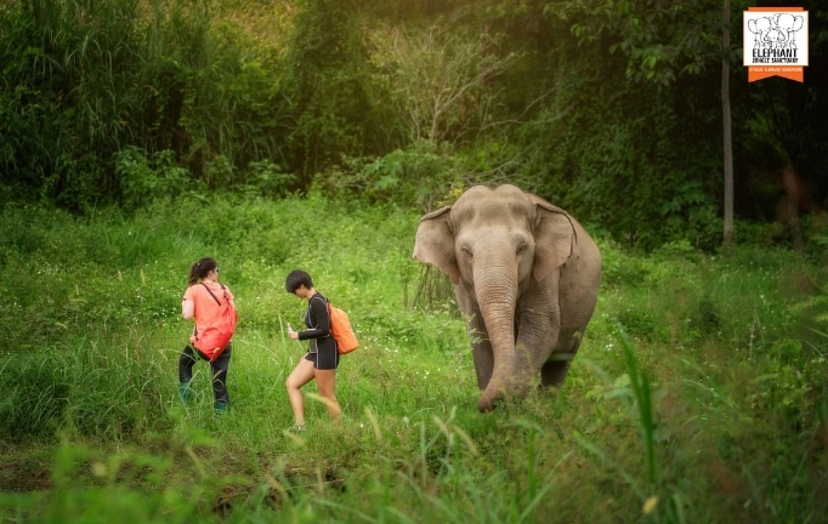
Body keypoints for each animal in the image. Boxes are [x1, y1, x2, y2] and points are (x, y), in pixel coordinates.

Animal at [413, 184, 602, 412]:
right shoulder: (465, 288)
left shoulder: (546, 275)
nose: (478, 404)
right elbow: (477, 333)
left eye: (521, 248)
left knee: (561, 360)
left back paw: (548, 405)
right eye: (466, 251)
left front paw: (515, 406)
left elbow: (542, 328)